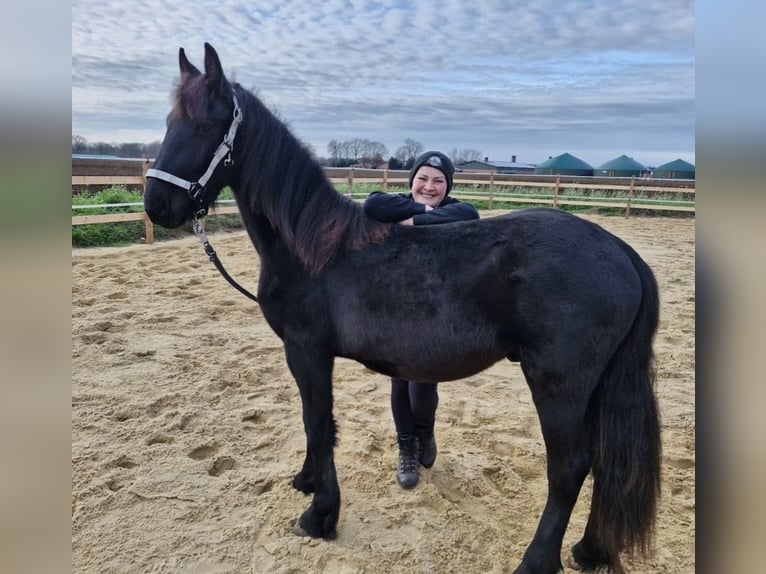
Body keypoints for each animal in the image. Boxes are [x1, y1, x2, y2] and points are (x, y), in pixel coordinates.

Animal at [144, 43, 662, 574]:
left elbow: (318, 422)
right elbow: (315, 421)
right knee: (605, 460)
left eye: (205, 126)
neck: (312, 248)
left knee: (569, 467)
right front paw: (307, 483)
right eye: (169, 122)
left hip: (558, 383)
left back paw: (537, 561)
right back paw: (590, 549)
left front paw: (320, 516)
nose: (156, 204)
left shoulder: (307, 350)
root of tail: (622, 252)